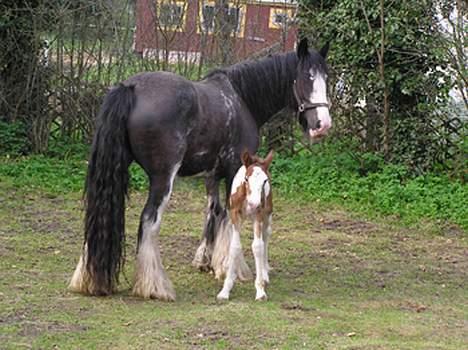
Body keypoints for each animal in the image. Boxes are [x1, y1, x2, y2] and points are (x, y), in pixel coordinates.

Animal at [218, 150, 276, 300]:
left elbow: (258, 246)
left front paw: (260, 290)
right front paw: (225, 290)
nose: (254, 204)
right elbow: (235, 247)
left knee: (266, 235)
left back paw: (265, 271)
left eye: (265, 181)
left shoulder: (258, 214)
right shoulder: (235, 215)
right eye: (246, 179)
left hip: (267, 214)